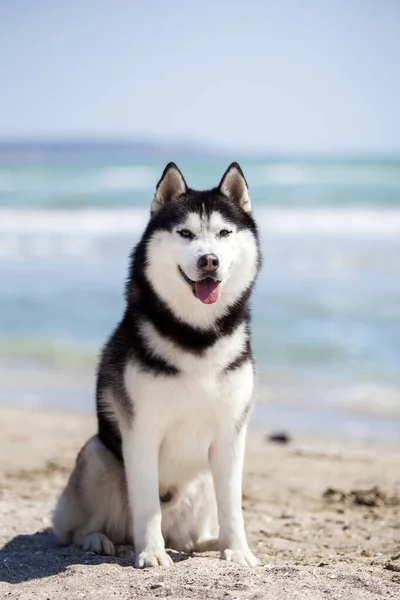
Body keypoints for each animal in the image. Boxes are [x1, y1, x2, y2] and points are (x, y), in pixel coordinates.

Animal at [51, 161, 260, 568]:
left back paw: (209, 543)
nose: (209, 260)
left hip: (201, 482)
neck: (197, 335)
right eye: (186, 233)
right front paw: (150, 553)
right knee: (79, 528)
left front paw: (238, 550)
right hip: (97, 456)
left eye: (224, 233)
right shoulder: (142, 429)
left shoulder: (231, 433)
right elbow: (147, 504)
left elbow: (232, 504)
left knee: (190, 538)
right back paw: (97, 539)